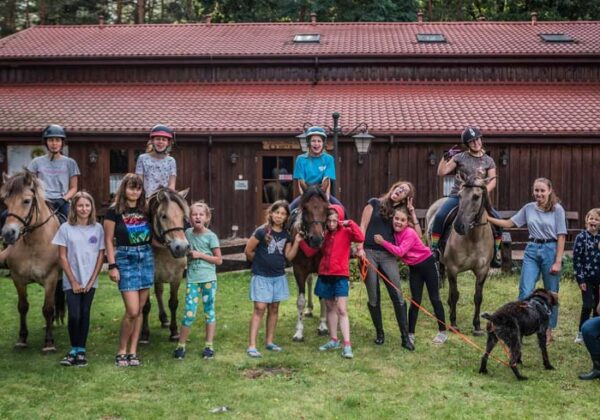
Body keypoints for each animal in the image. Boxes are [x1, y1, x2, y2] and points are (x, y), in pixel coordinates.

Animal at [0, 170, 63, 351]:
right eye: (5, 202)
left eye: (26, 201)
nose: (8, 234)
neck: (34, 243)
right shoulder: (18, 278)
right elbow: (22, 307)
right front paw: (22, 338)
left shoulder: (51, 278)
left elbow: (47, 308)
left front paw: (48, 343)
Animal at [140, 187, 190, 343]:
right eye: (163, 216)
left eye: (183, 216)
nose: (181, 247)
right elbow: (146, 306)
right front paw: (144, 334)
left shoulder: (176, 277)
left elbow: (173, 303)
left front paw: (174, 332)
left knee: (159, 292)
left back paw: (164, 318)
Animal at [289, 180, 330, 341]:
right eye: (305, 208)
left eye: (326, 208)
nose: (316, 239)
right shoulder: (299, 269)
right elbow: (300, 301)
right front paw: (299, 332)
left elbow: (324, 297)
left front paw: (323, 326)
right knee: (308, 282)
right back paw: (309, 309)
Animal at [425, 175, 494, 335]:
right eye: (460, 196)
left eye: (476, 196)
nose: (458, 226)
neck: (473, 237)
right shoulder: (453, 268)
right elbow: (455, 294)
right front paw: (454, 323)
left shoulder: (482, 271)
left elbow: (478, 297)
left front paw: (477, 326)